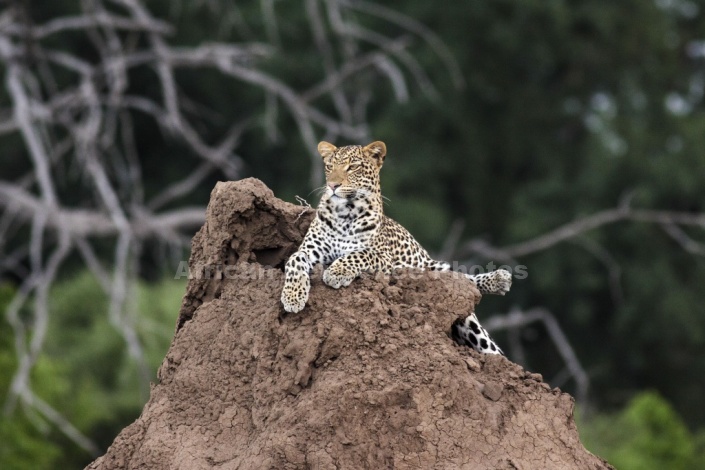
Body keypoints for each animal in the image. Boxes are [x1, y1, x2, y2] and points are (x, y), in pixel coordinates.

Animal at [280, 141, 512, 354]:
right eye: (329, 167)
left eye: (352, 167)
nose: (333, 185)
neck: (344, 214)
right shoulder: (310, 250)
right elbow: (294, 259)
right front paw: (293, 296)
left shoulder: (383, 257)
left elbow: (359, 254)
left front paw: (336, 272)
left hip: (457, 303)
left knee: (466, 283)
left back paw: (499, 279)